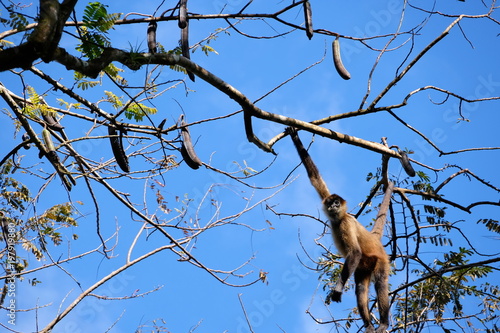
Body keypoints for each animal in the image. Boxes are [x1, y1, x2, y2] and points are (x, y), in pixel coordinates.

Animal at [286, 127, 390, 332]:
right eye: (330, 203)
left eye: (336, 203)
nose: (333, 206)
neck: (337, 220)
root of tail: (375, 240)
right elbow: (314, 177)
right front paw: (294, 135)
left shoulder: (345, 224)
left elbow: (355, 251)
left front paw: (338, 289)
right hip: (363, 267)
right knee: (361, 289)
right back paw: (369, 326)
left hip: (379, 261)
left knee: (381, 283)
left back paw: (383, 323)